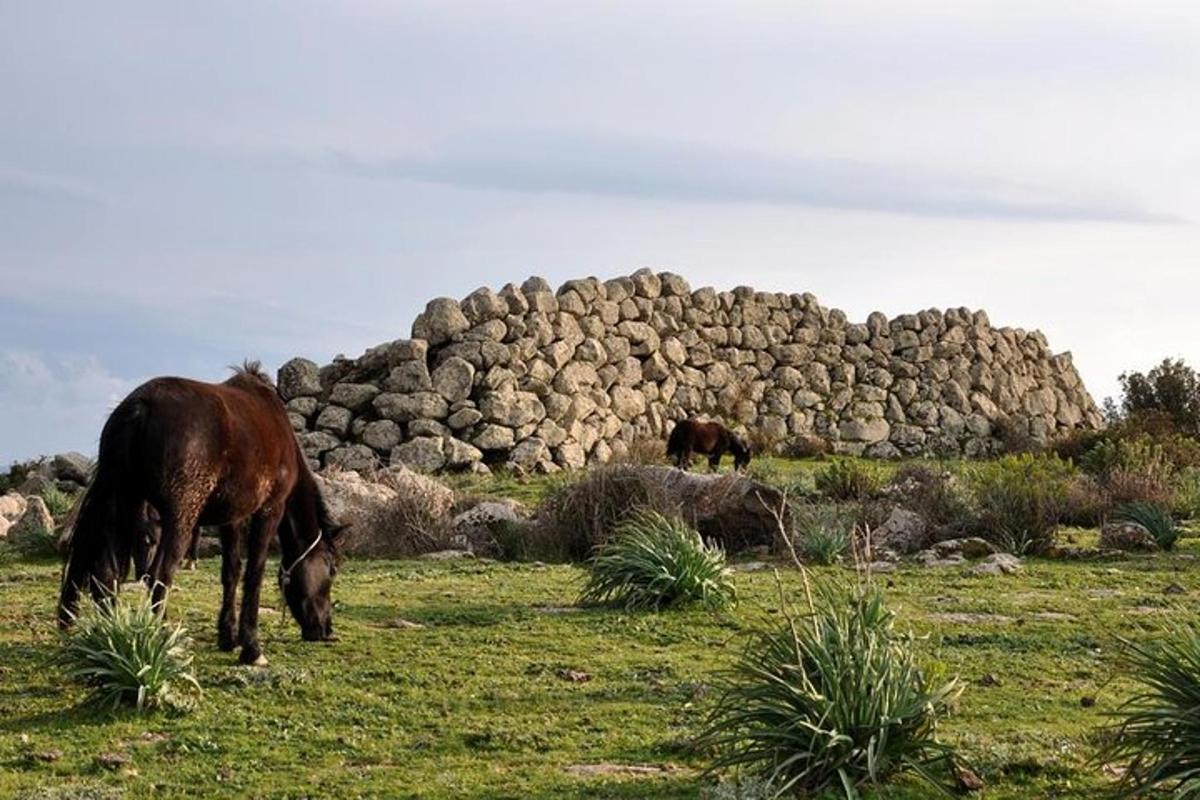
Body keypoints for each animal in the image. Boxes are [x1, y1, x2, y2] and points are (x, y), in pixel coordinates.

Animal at [59, 367, 348, 666]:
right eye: (332, 570)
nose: (326, 630)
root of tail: (140, 405)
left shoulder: (232, 518)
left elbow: (231, 572)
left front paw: (228, 637)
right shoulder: (269, 511)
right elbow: (254, 574)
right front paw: (251, 648)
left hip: (124, 504)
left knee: (106, 574)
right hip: (179, 519)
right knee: (158, 574)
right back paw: (160, 640)